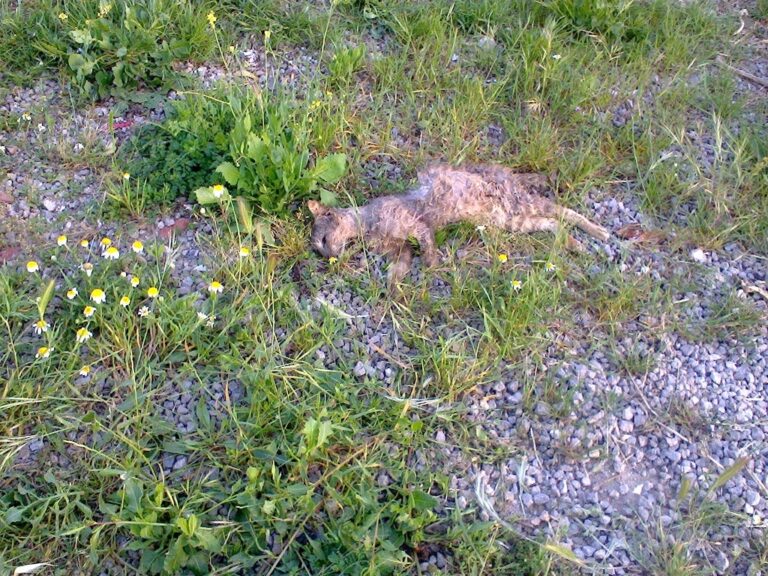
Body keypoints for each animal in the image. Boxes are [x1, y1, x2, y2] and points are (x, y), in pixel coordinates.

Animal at [308, 162, 608, 288]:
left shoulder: (417, 226)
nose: (329, 256)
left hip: (519, 205)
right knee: (552, 223)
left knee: (563, 211)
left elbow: (427, 248)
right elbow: (401, 265)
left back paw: (597, 232)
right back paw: (574, 243)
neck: (367, 226)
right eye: (319, 250)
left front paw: (432, 266)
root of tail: (510, 175)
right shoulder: (400, 248)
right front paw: (393, 287)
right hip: (513, 220)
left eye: (323, 241)